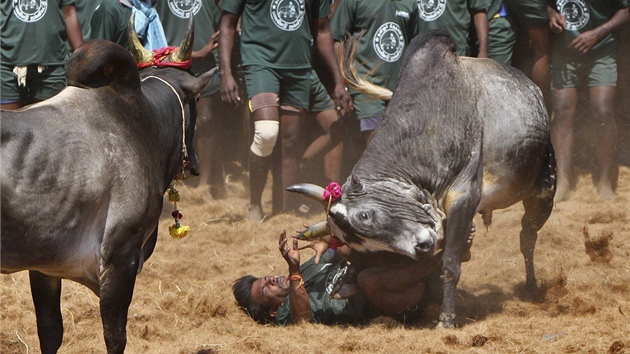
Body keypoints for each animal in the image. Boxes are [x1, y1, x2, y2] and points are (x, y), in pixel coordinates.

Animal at [1, 15, 216, 352]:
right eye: (195, 101)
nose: (193, 165)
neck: (145, 119)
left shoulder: (43, 267)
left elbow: (50, 332)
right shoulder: (121, 256)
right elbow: (115, 336)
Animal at [288, 31, 556, 330]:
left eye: (365, 216)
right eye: (362, 242)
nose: (423, 247)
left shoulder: (463, 199)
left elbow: (449, 265)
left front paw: (446, 319)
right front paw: (348, 276)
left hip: (544, 189)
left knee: (527, 237)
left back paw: (531, 288)